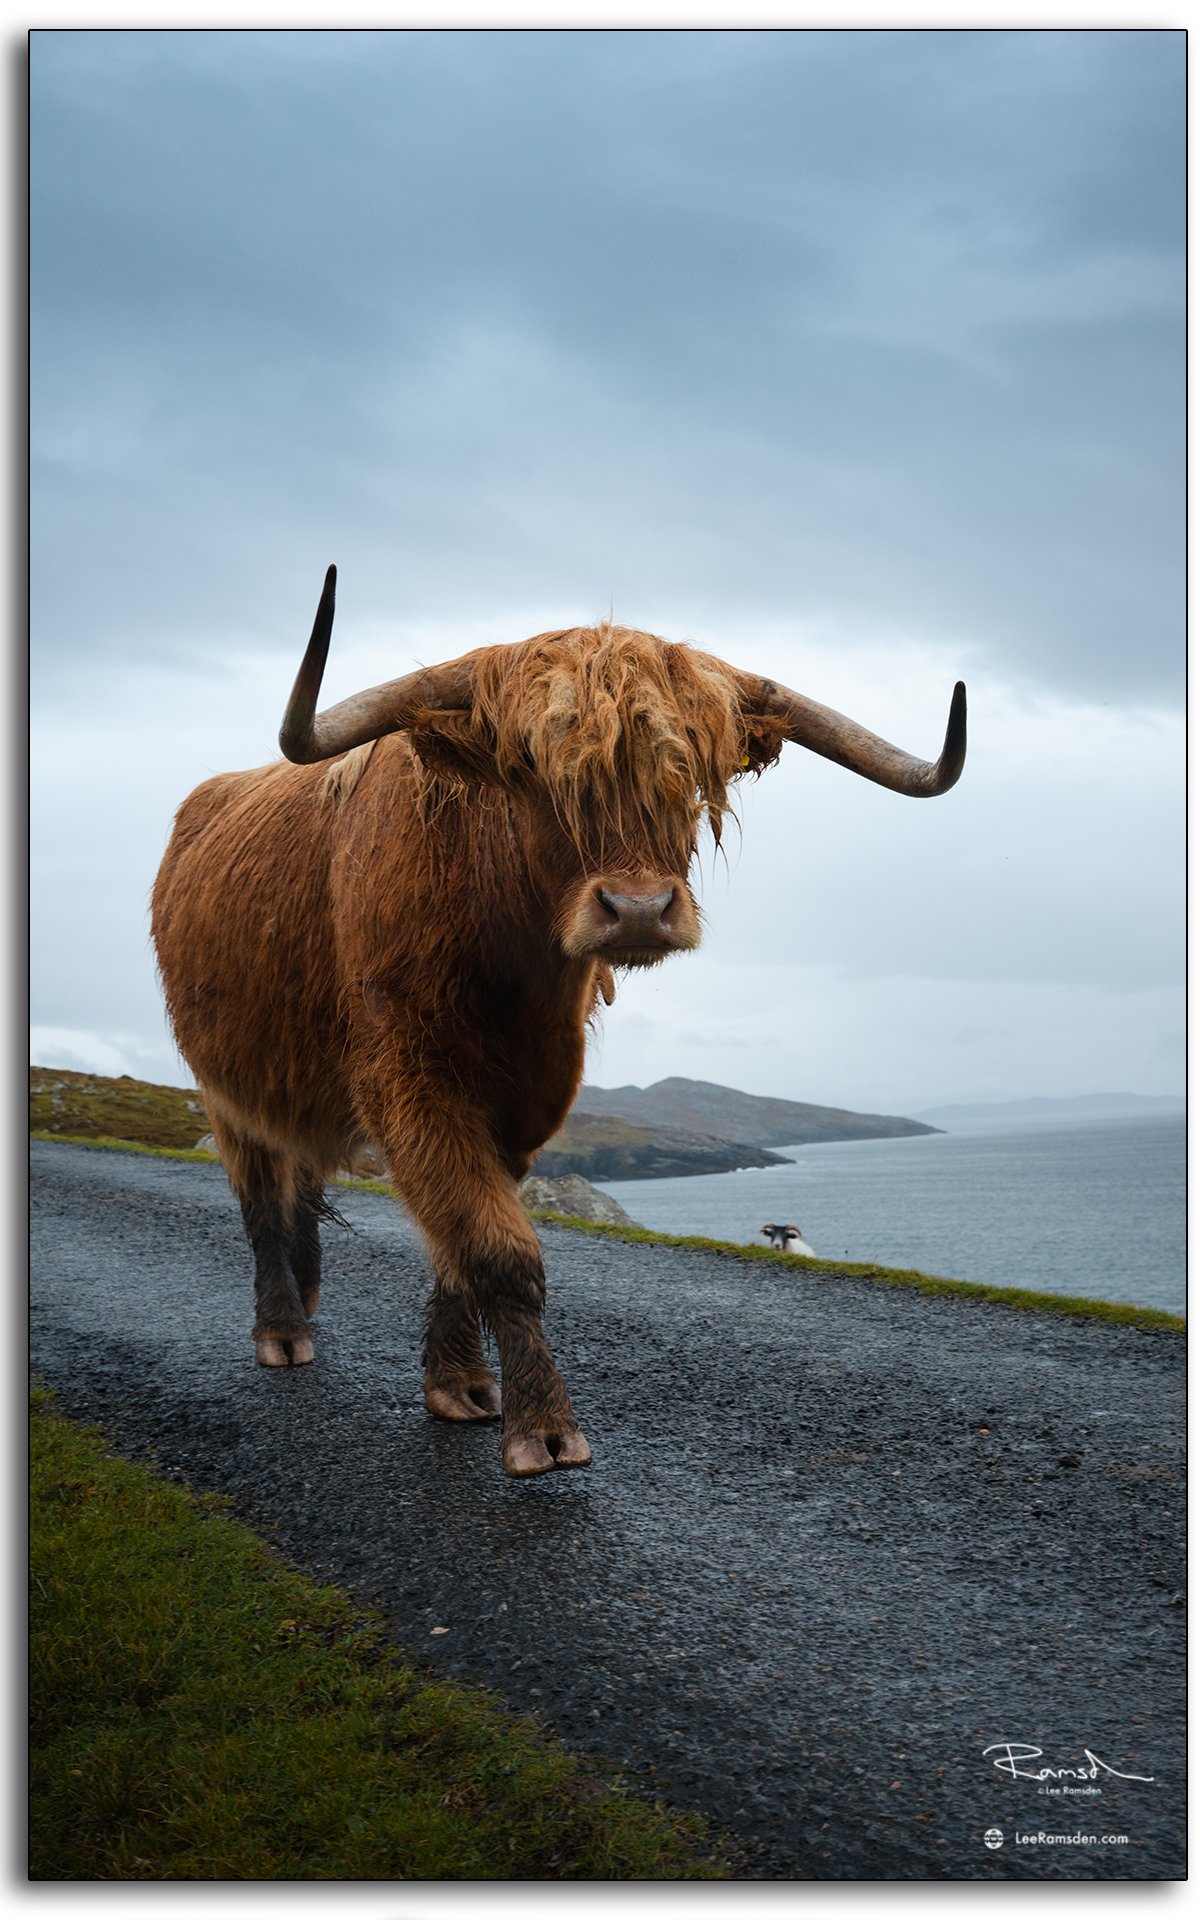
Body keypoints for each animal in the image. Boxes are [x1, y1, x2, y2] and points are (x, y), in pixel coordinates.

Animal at [151, 567, 966, 1477]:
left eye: (689, 776)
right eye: (535, 773)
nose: (639, 909)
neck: (511, 967)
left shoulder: (530, 1091)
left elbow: (464, 1237)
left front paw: (461, 1384)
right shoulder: (409, 1075)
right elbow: (496, 1247)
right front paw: (540, 1427)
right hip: (225, 1084)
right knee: (260, 1195)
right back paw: (284, 1331)